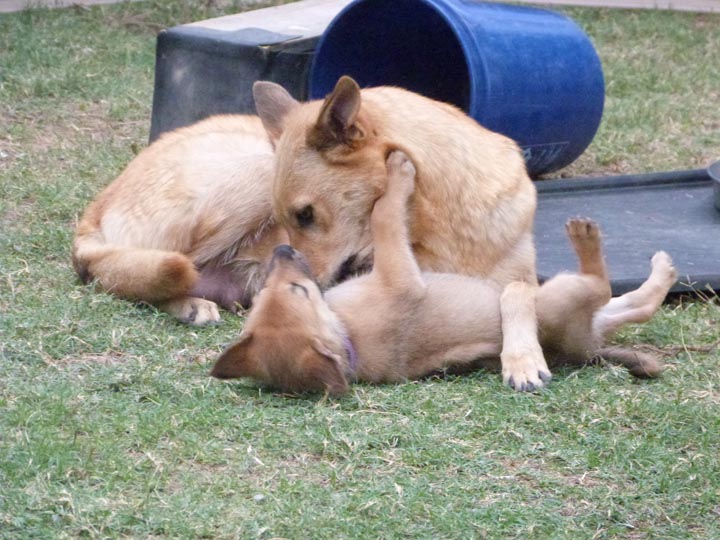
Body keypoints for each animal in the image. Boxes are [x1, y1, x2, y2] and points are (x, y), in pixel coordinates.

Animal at [211, 150, 676, 394]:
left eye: (277, 291)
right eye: (300, 292)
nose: (283, 249)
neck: (347, 336)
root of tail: (584, 351)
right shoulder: (400, 271)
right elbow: (384, 216)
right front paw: (398, 174)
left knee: (631, 304)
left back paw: (664, 269)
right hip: (557, 294)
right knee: (602, 288)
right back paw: (590, 239)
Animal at [252, 76, 544, 390]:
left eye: (305, 214)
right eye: (287, 220)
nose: (301, 278)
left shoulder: (522, 276)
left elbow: (516, 292)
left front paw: (523, 358)